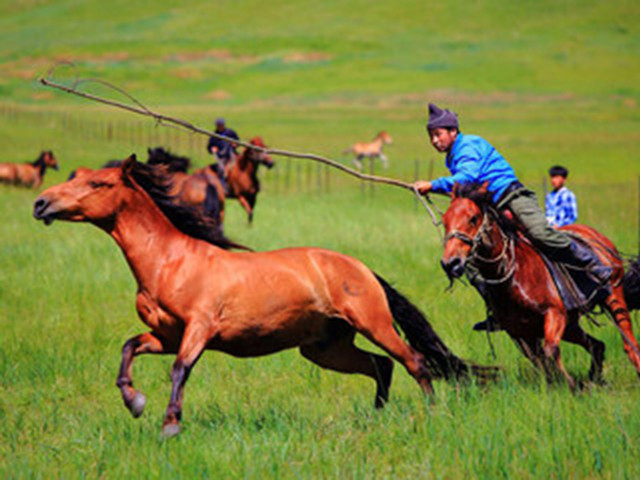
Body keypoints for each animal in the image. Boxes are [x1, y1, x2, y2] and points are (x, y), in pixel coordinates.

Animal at [32, 157, 496, 436]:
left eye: (97, 182)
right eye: (73, 177)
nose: (40, 203)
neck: (169, 262)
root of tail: (362, 269)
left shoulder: (198, 329)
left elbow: (180, 370)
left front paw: (169, 424)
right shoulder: (165, 335)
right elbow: (128, 349)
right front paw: (135, 402)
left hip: (374, 324)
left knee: (414, 362)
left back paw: (432, 414)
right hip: (324, 348)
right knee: (381, 366)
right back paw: (377, 416)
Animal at [438, 182, 640, 388]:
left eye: (473, 218)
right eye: (445, 220)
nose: (450, 263)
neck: (514, 275)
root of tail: (598, 237)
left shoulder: (555, 314)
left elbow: (550, 352)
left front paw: (572, 387)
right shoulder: (519, 333)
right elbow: (540, 361)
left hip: (613, 298)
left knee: (629, 344)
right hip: (571, 325)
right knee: (596, 345)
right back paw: (596, 380)